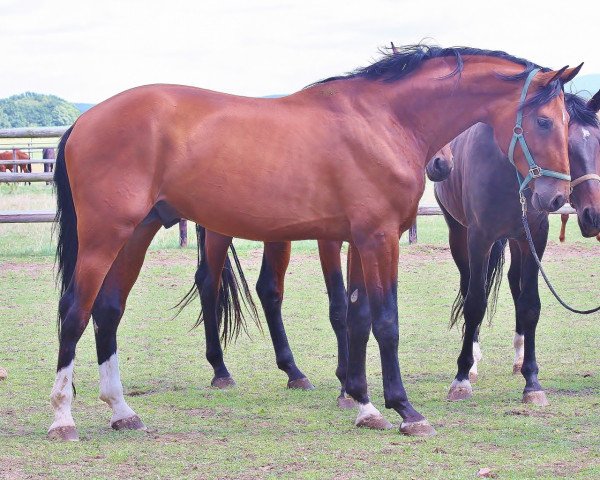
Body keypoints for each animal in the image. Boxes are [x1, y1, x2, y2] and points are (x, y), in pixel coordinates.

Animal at [183, 149, 454, 408]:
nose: (442, 164)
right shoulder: (329, 241)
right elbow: (340, 307)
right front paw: (345, 384)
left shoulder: (359, 242)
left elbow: (356, 307)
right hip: (221, 229)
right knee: (209, 283)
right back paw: (220, 370)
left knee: (268, 289)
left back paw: (293, 372)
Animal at [434, 90, 600, 404]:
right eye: (567, 147)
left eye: (598, 143)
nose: (594, 215)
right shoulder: (479, 238)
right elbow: (475, 303)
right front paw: (461, 377)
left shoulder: (535, 236)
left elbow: (530, 303)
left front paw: (531, 380)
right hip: (458, 234)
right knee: (468, 285)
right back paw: (472, 361)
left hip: (516, 238)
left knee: (514, 282)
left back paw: (519, 357)